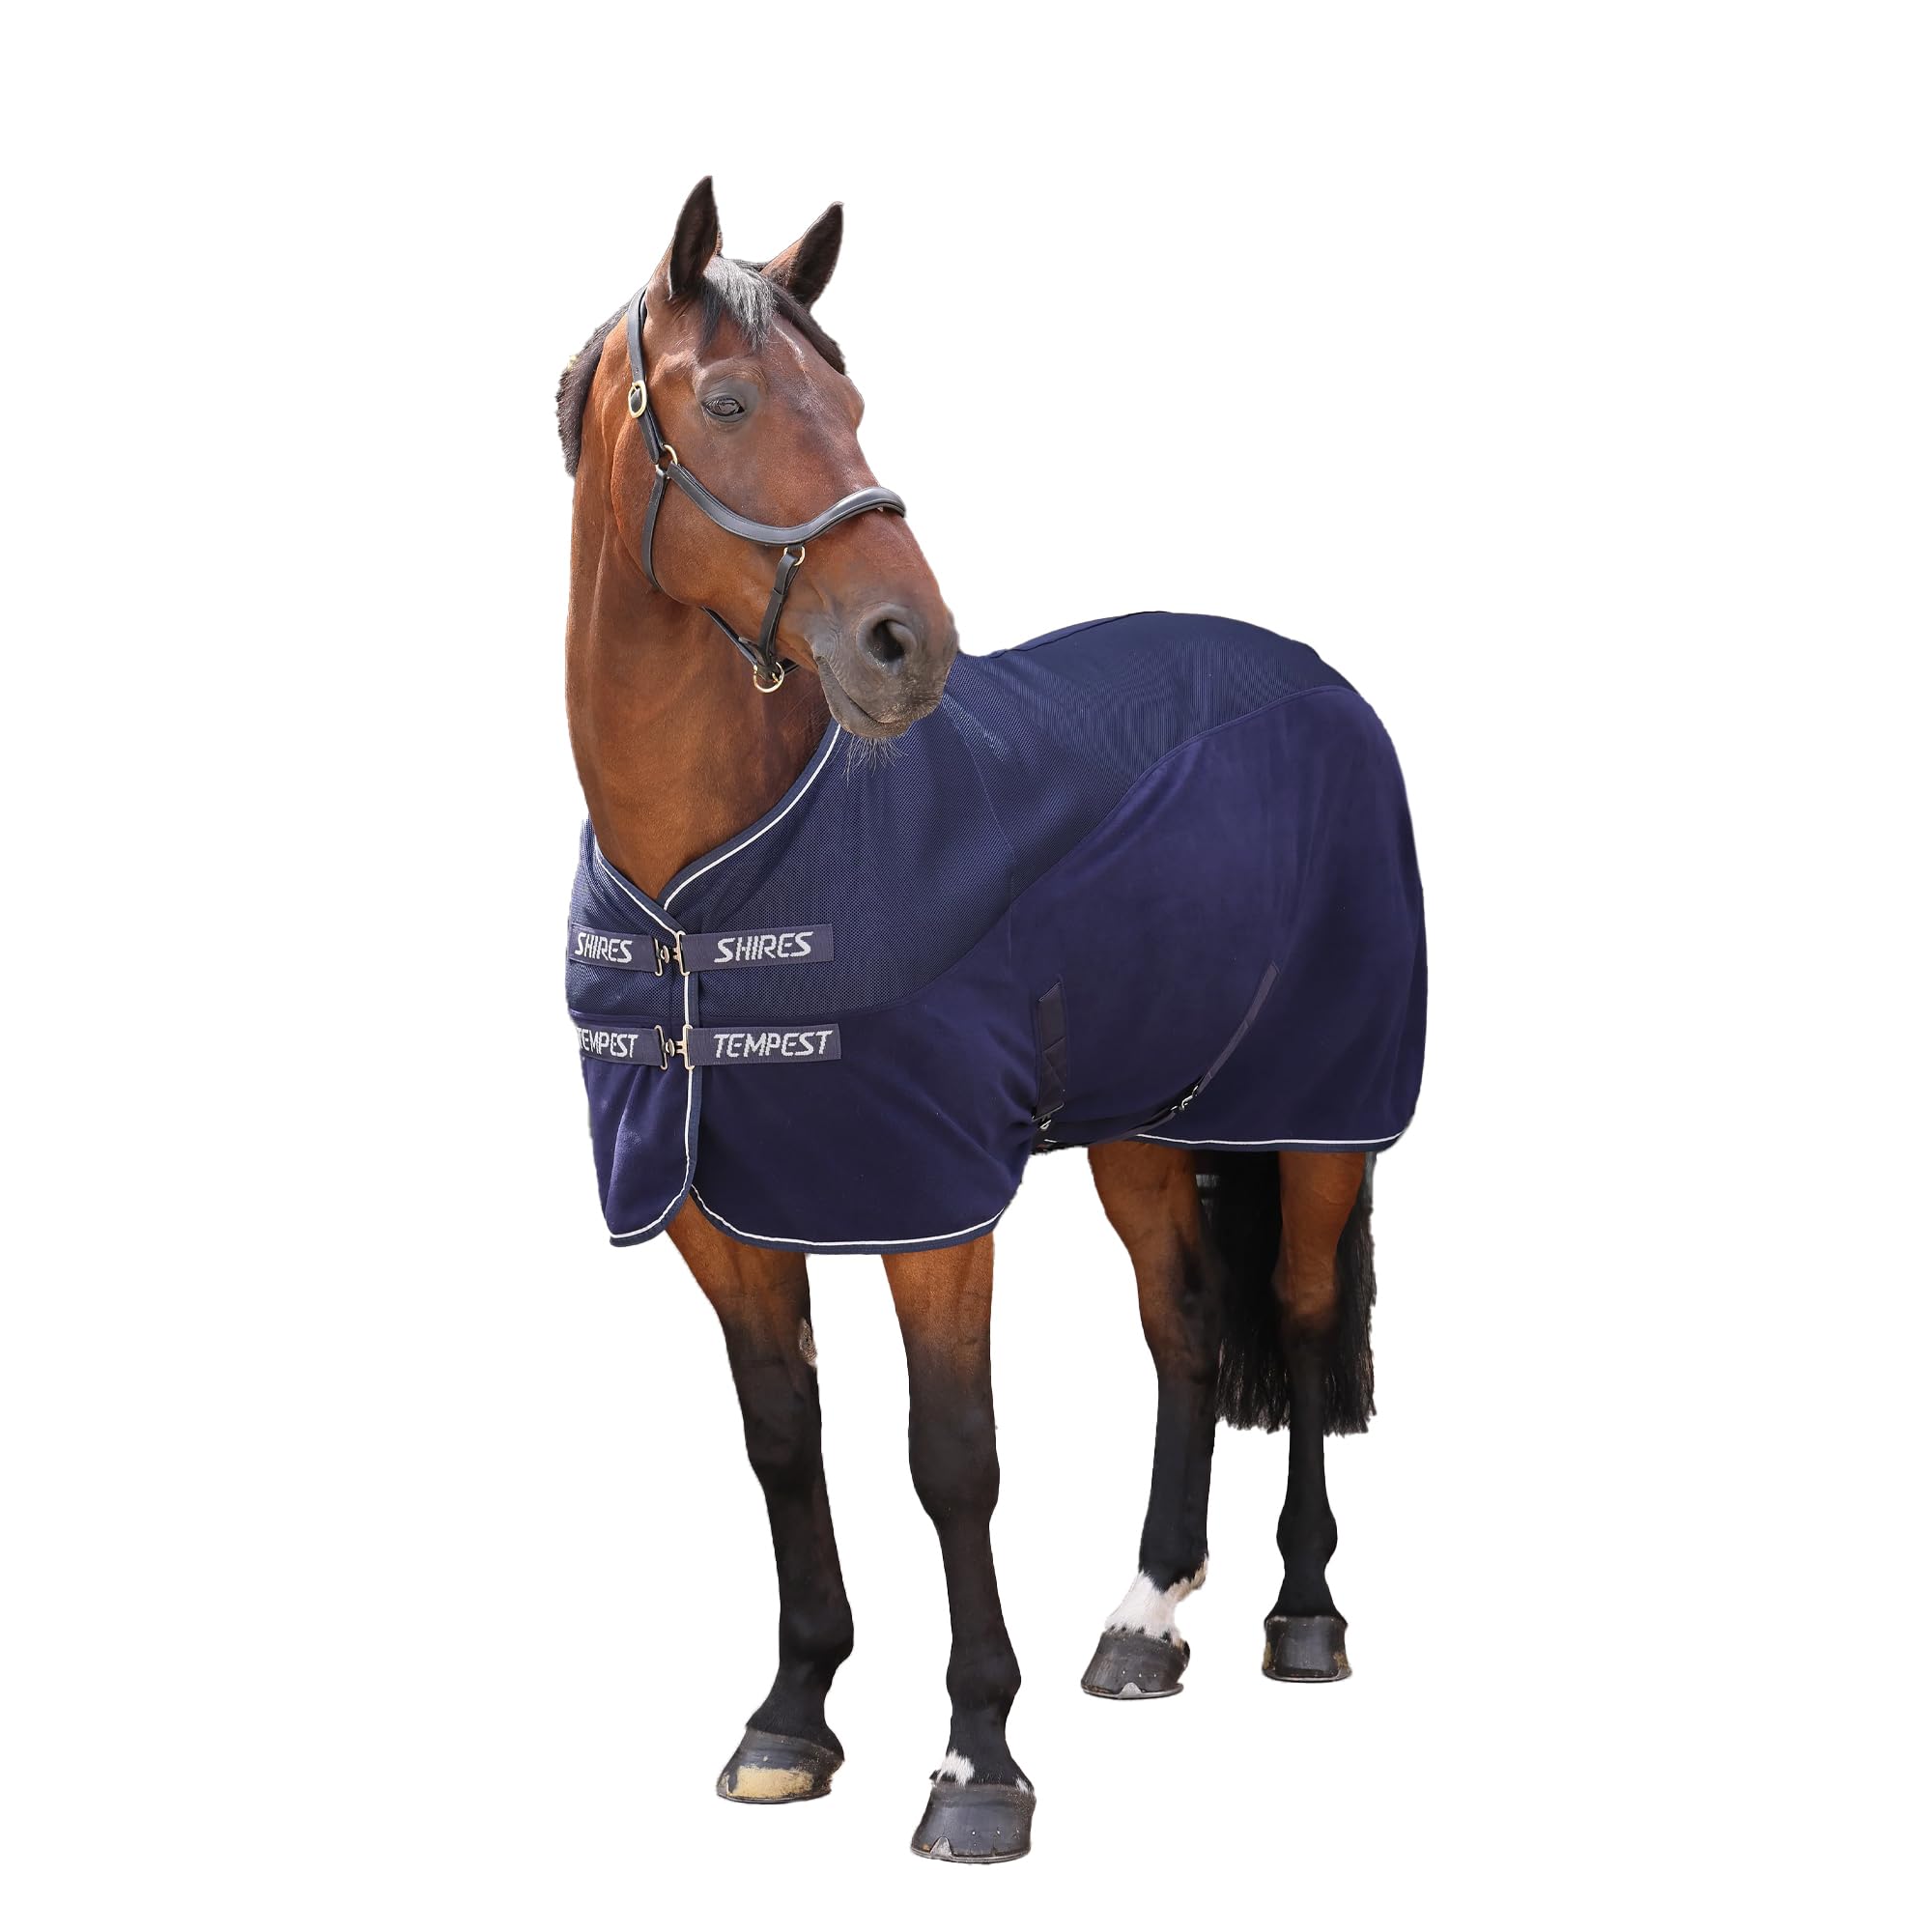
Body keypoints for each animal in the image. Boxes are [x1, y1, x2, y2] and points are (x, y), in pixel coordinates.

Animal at [554, 178, 1426, 1863]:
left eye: (855, 402)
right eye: (734, 402)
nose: (910, 645)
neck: (711, 883)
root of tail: (1312, 676)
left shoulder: (934, 1208)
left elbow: (952, 1459)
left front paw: (978, 1766)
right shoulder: (717, 1208)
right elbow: (784, 1442)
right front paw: (790, 1718)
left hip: (1320, 1114)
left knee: (1292, 1317)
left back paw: (1301, 1616)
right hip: (1145, 1127)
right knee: (1184, 1330)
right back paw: (1145, 1622)